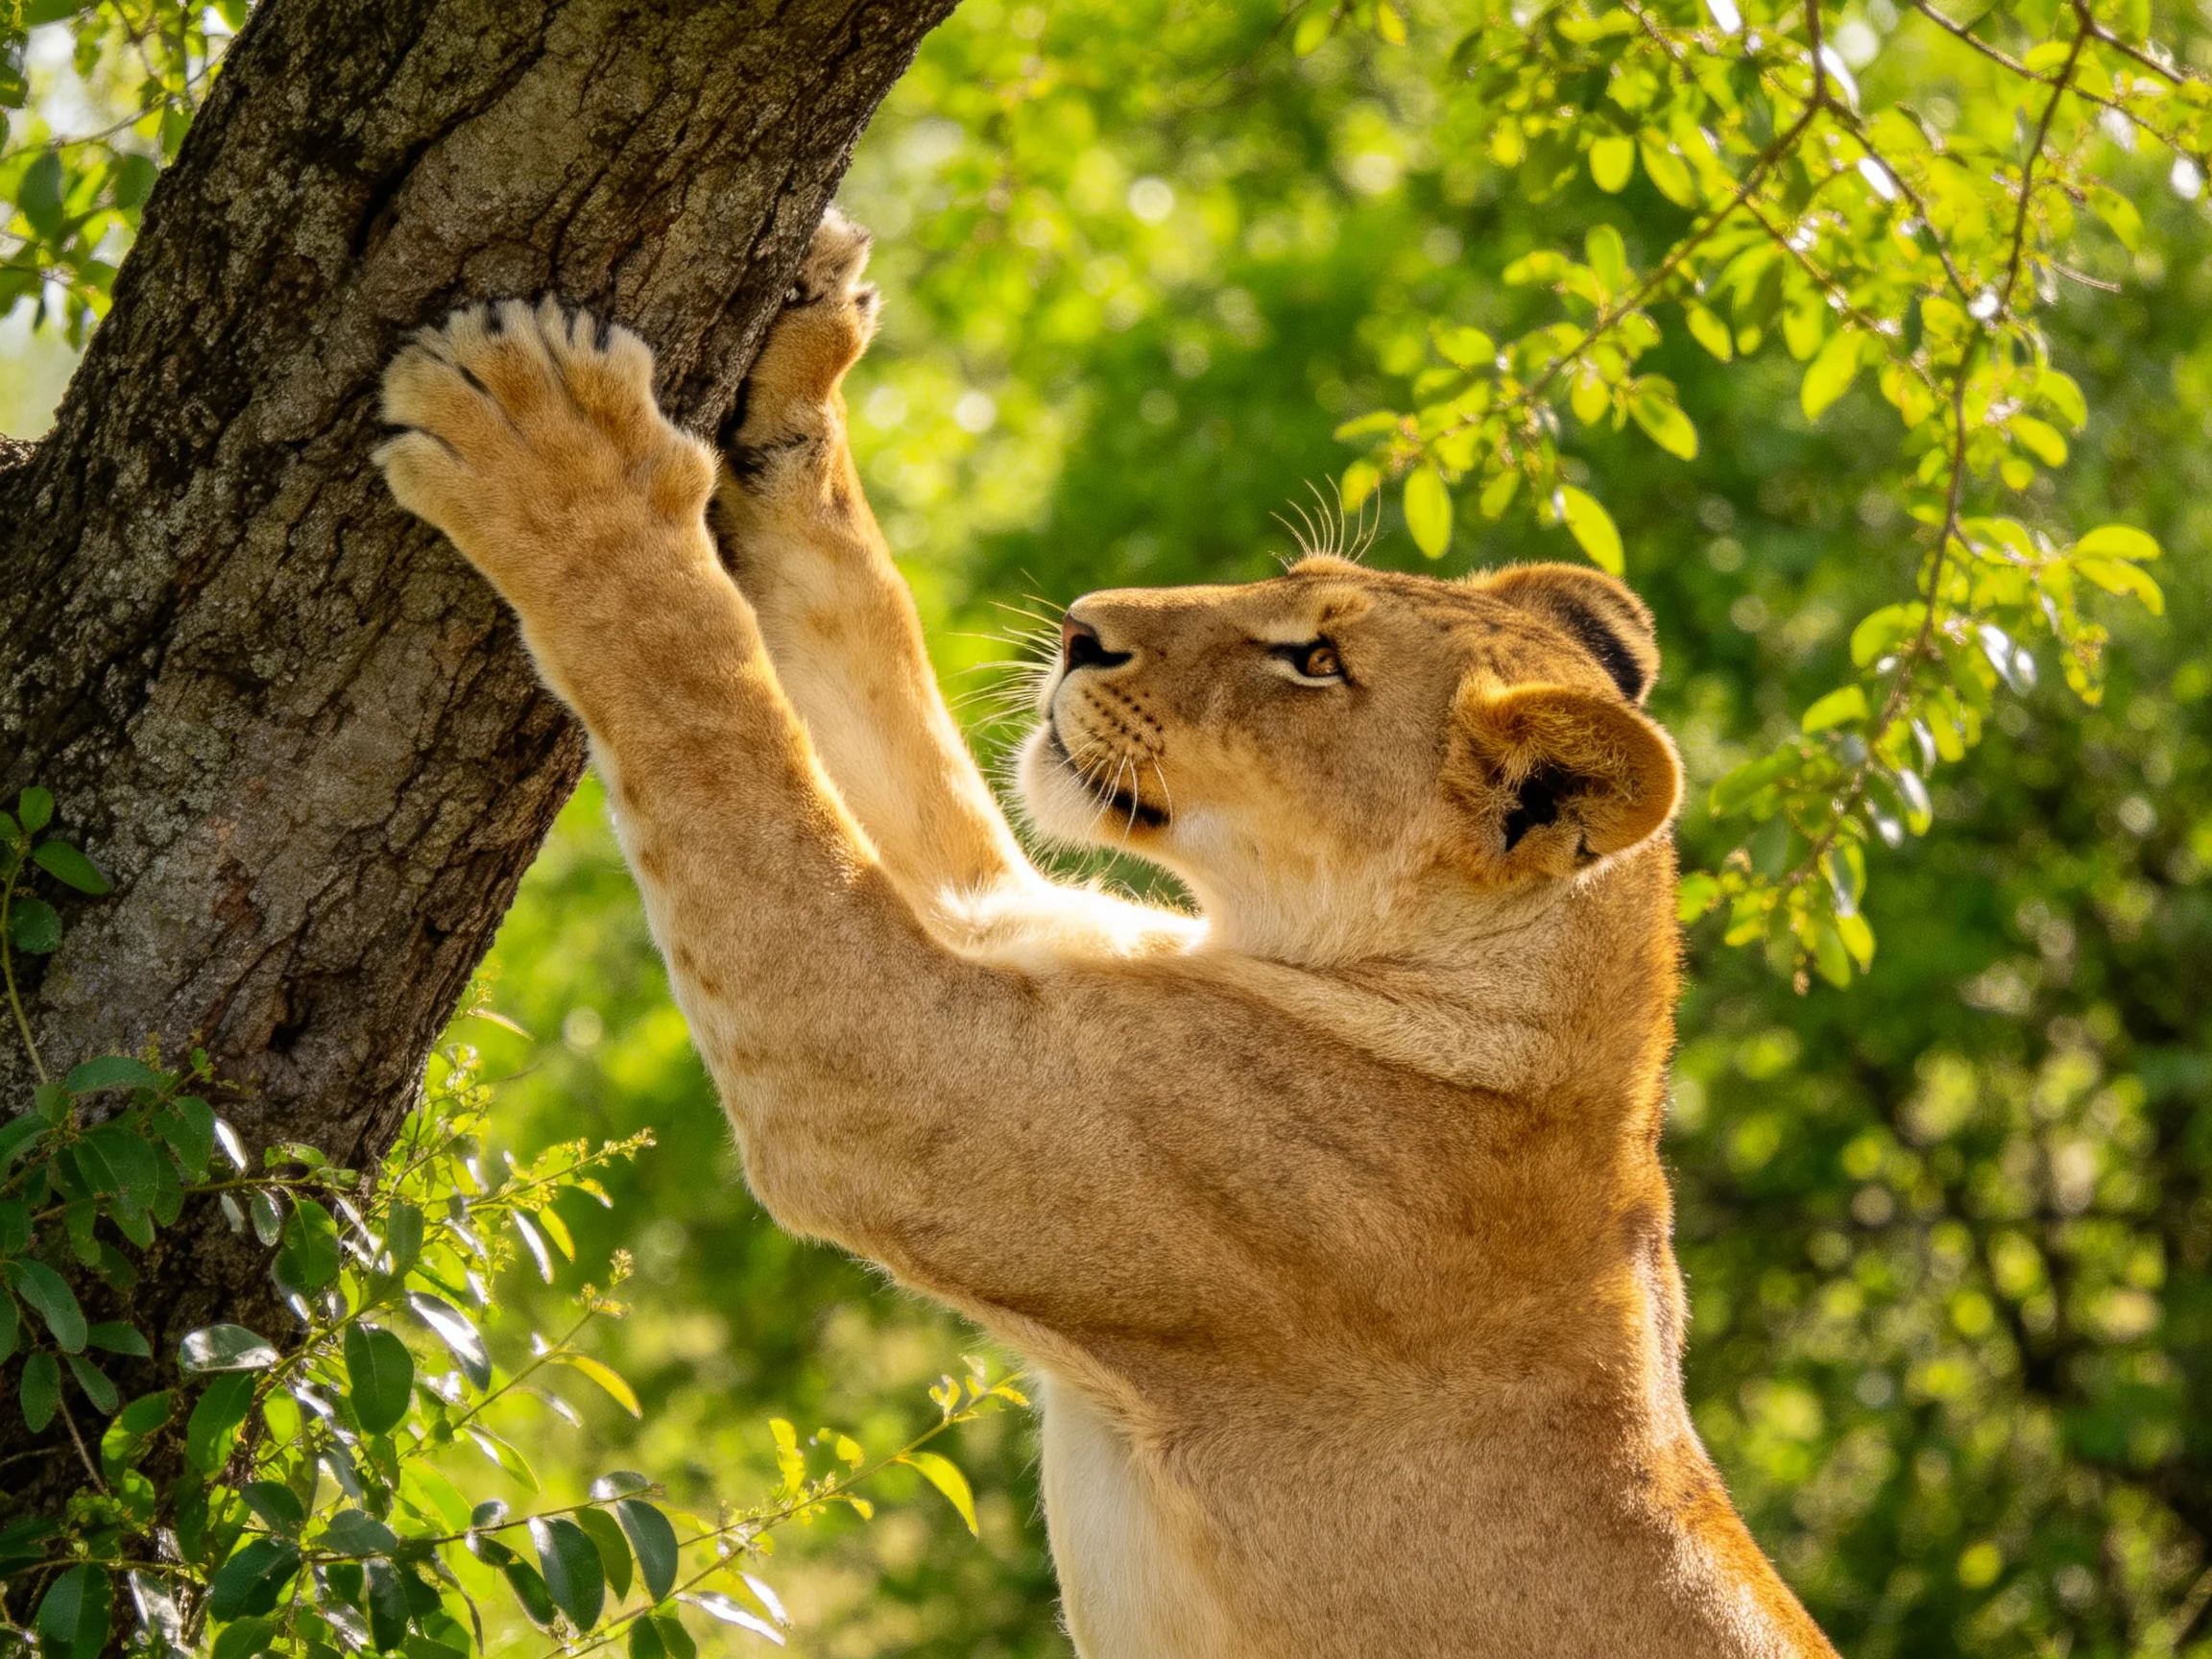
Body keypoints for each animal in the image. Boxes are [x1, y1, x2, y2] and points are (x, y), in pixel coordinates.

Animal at [375, 211, 1840, 1658]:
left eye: (1315, 661)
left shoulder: (904, 1086)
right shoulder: (1025, 926)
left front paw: (554, 453)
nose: (1084, 630)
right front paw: (811, 332)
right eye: (1293, 581)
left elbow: (706, 699)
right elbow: (859, 639)